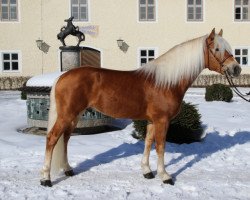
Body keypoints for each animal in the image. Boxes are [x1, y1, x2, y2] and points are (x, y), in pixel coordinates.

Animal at [40, 28, 240, 187]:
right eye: (217, 49)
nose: (236, 69)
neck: (165, 82)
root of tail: (62, 76)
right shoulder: (162, 121)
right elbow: (160, 146)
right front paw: (165, 176)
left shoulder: (152, 121)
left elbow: (148, 143)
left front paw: (147, 171)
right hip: (66, 115)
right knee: (52, 139)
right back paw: (46, 179)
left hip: (74, 116)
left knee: (65, 139)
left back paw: (68, 169)